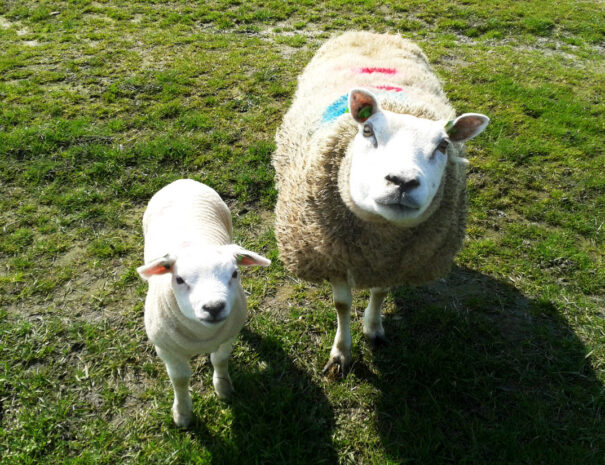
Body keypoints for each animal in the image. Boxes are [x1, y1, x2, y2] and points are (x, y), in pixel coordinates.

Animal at [138, 179, 270, 426]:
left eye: (235, 273)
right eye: (179, 279)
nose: (214, 307)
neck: (202, 336)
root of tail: (183, 180)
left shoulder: (227, 338)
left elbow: (220, 360)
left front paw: (223, 388)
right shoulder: (166, 350)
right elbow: (180, 379)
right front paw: (182, 413)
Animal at [272, 30, 488, 376]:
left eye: (443, 145)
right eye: (368, 130)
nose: (402, 181)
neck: (379, 241)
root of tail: (373, 32)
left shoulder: (395, 262)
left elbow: (380, 292)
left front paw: (373, 329)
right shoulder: (329, 254)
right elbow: (342, 304)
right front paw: (341, 353)